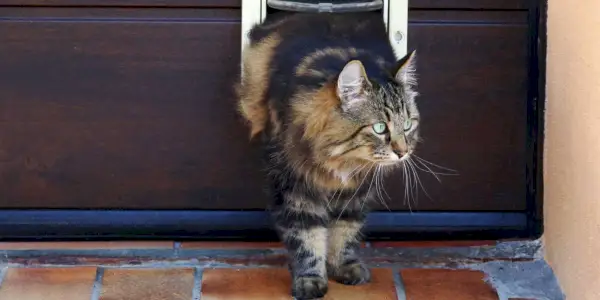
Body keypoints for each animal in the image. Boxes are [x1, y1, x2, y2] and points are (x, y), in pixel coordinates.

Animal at [237, 10, 420, 298]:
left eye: (408, 125)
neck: (339, 158)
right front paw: (310, 279)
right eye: (380, 128)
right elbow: (307, 237)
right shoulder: (295, 188)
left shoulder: (355, 192)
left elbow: (345, 231)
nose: (403, 153)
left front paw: (343, 266)